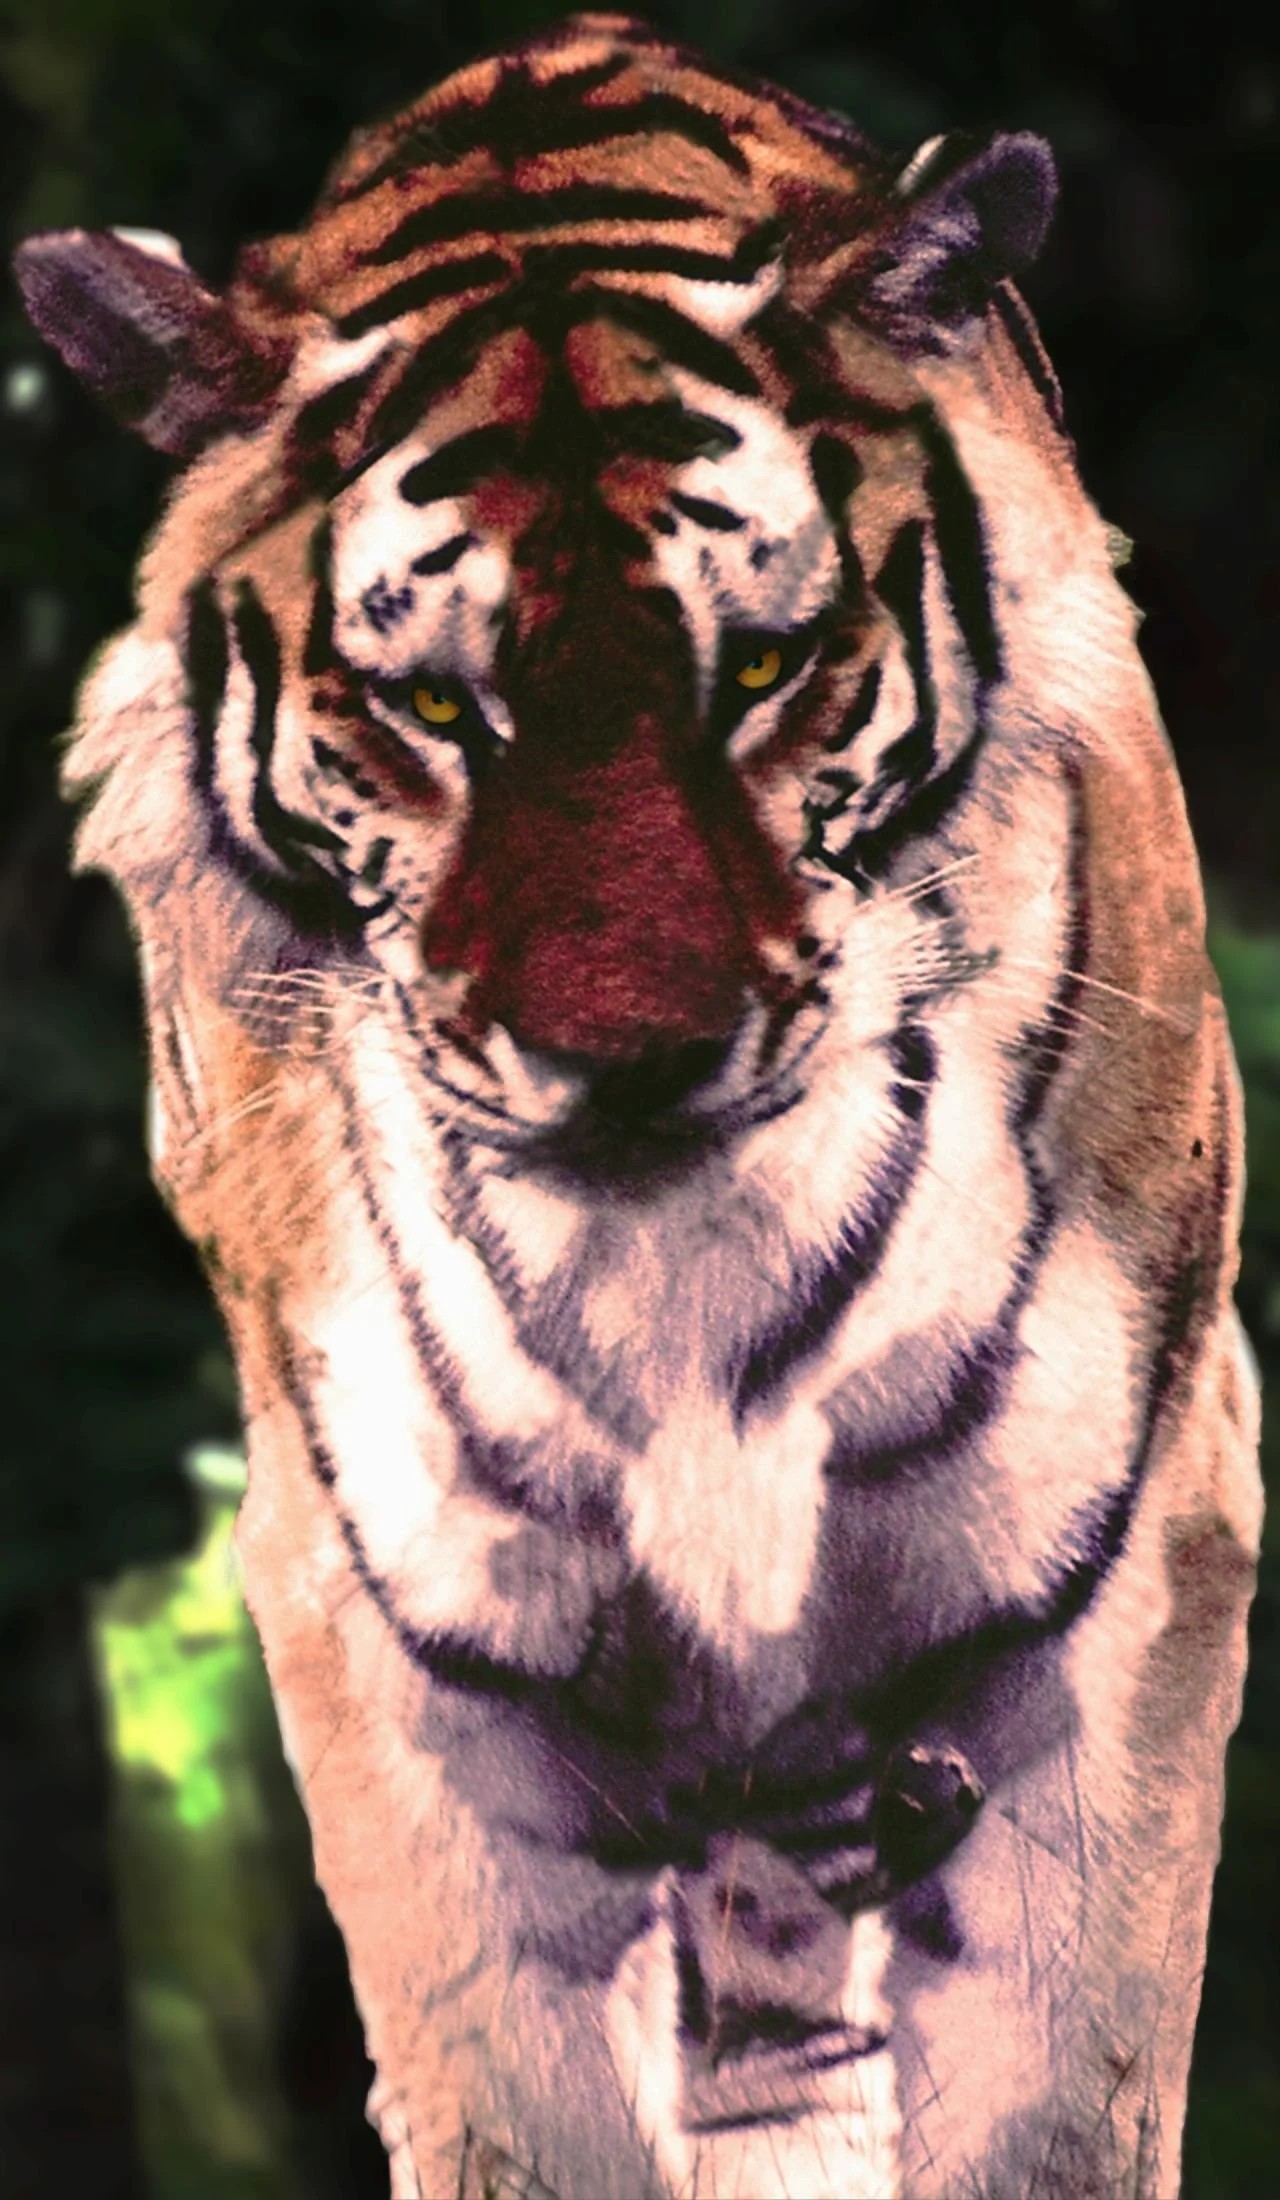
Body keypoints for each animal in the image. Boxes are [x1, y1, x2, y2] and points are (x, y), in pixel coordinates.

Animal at [16, 13, 1262, 2197]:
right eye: (432, 708)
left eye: (763, 668)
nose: (630, 1058)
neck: (681, 1287)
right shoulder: (399, 1651)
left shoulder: (1125, 1577)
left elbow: (1050, 2104)